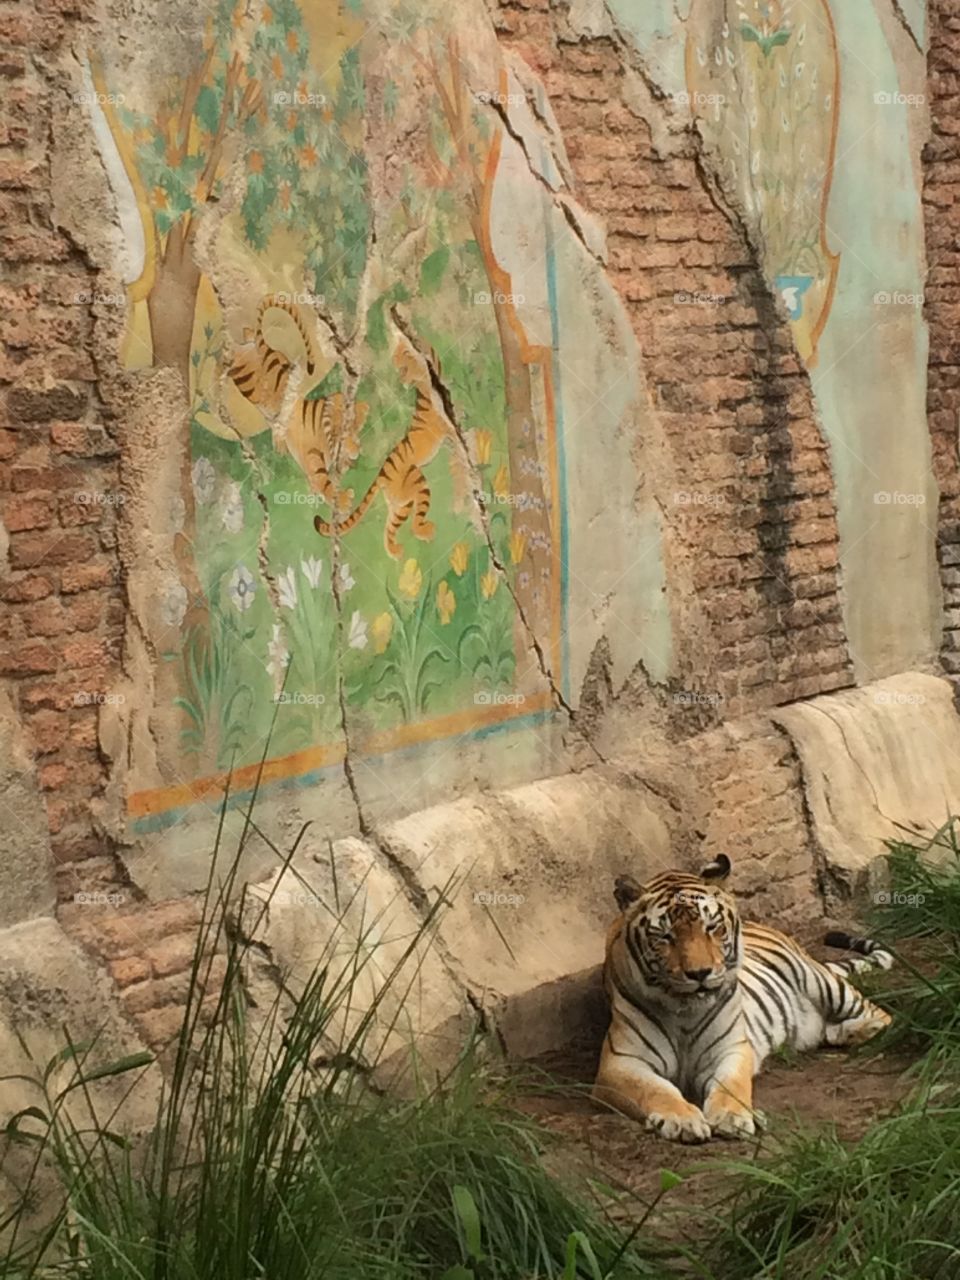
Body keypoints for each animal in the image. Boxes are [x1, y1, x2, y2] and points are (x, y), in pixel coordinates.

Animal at [314, 317, 455, 559]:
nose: (403, 380)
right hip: (417, 484)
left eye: (403, 364)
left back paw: (396, 553)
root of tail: (380, 474)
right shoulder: (447, 426)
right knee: (411, 523)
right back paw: (424, 533)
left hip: (401, 503)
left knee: (388, 529)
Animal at [593, 854, 894, 1144]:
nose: (699, 973)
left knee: (882, 1015)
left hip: (817, 979)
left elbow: (731, 1084)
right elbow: (656, 1089)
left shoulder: (732, 1048)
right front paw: (682, 1120)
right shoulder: (621, 1063)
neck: (684, 1013)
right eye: (665, 936)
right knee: (831, 1030)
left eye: (711, 927)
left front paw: (732, 1117)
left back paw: (871, 1028)